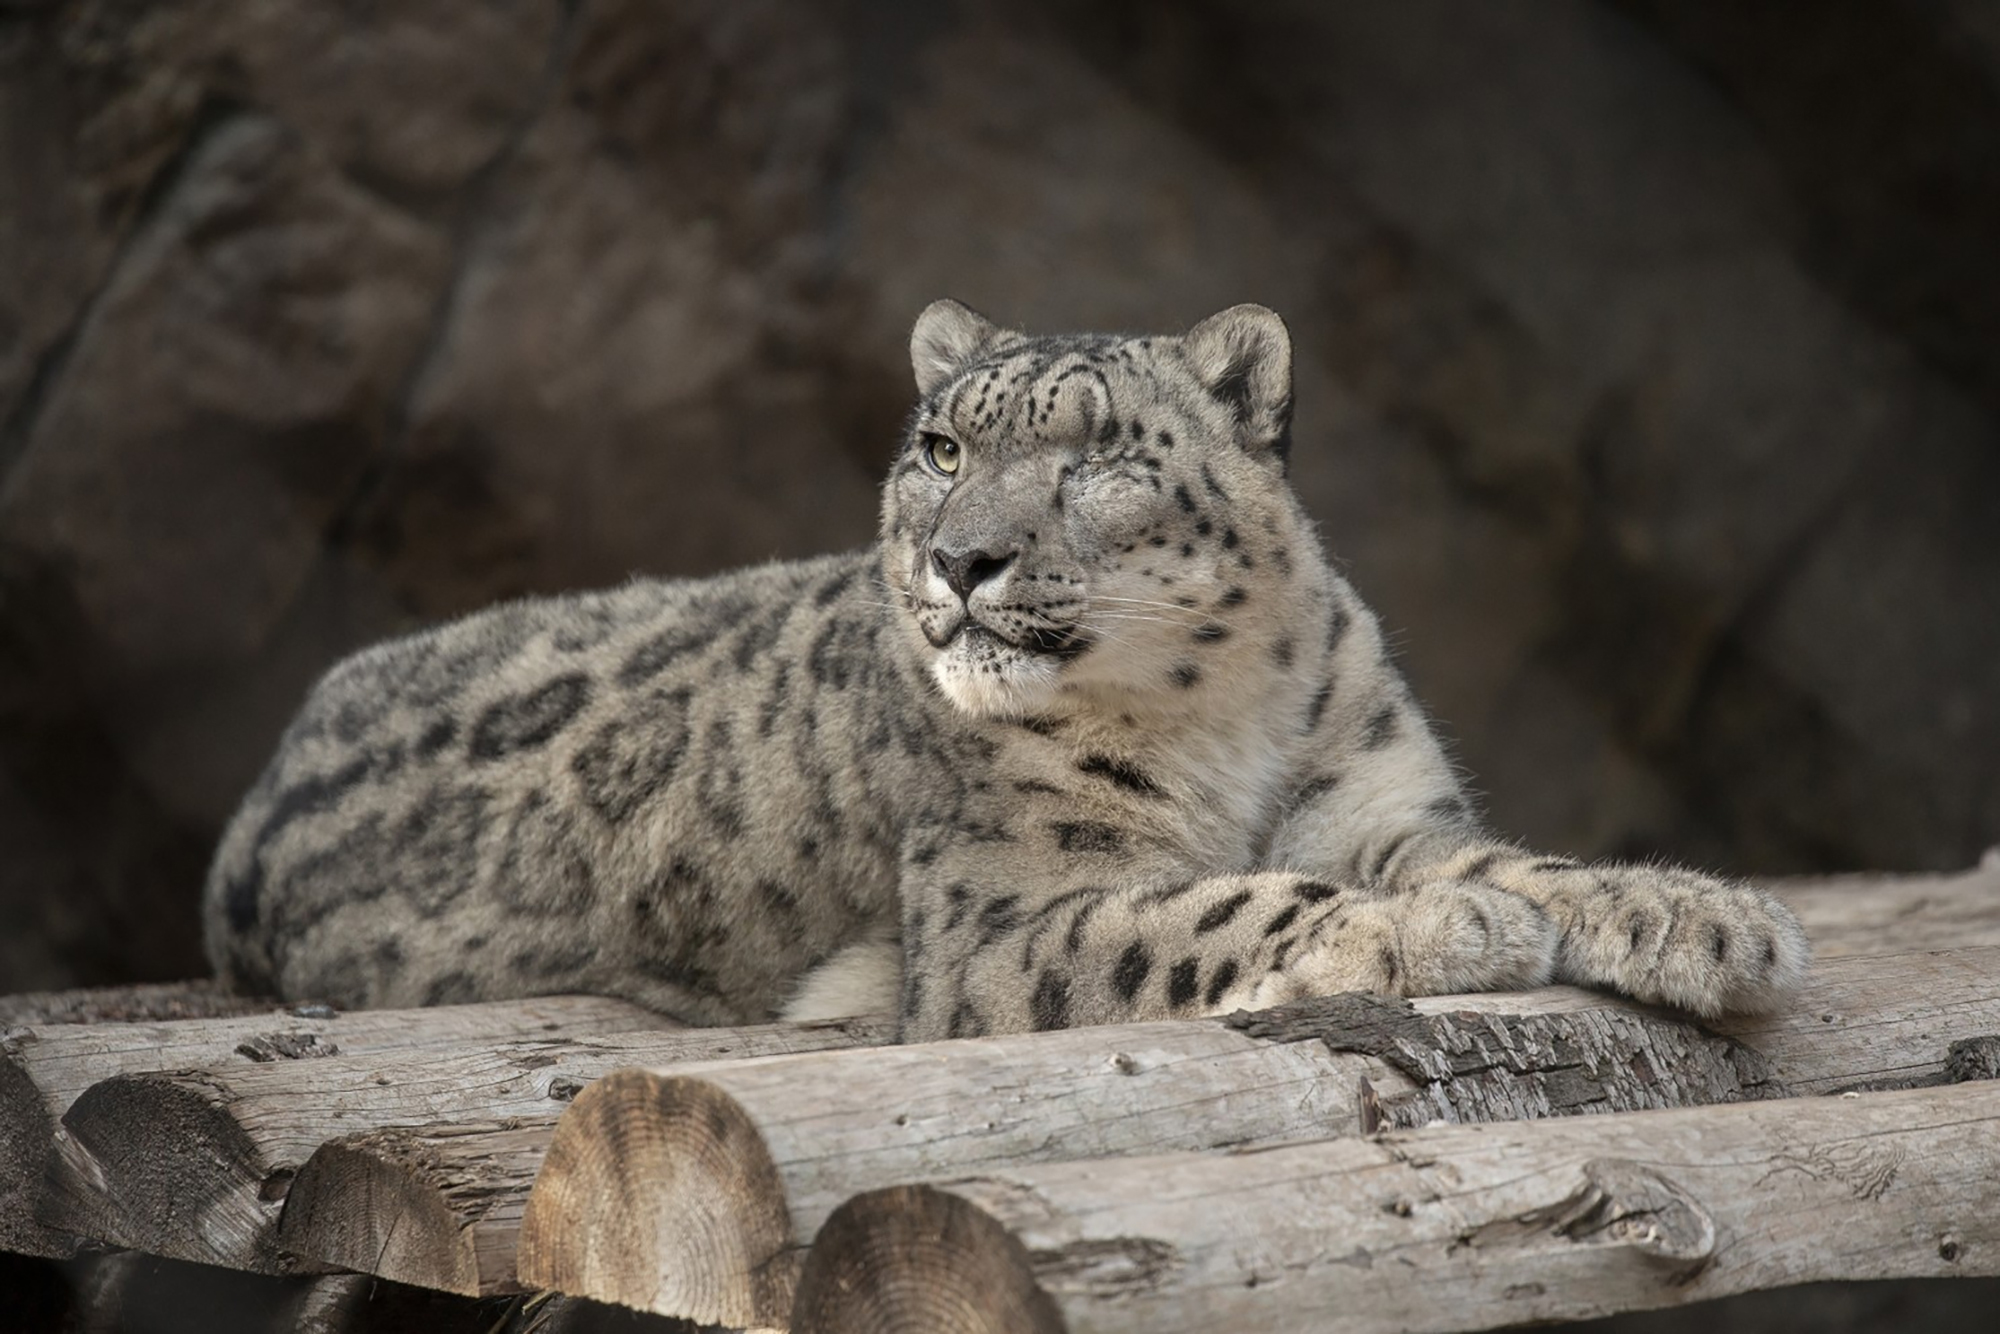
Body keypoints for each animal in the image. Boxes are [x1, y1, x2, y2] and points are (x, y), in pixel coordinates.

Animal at [203, 302, 1816, 1040]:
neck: (1223, 721)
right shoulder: (1004, 912)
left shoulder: (1377, 803)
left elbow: (1505, 857)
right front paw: (1439, 931)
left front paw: (1699, 914)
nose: (960, 558)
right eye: (939, 446)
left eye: (1097, 453)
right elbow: (1218, 904)